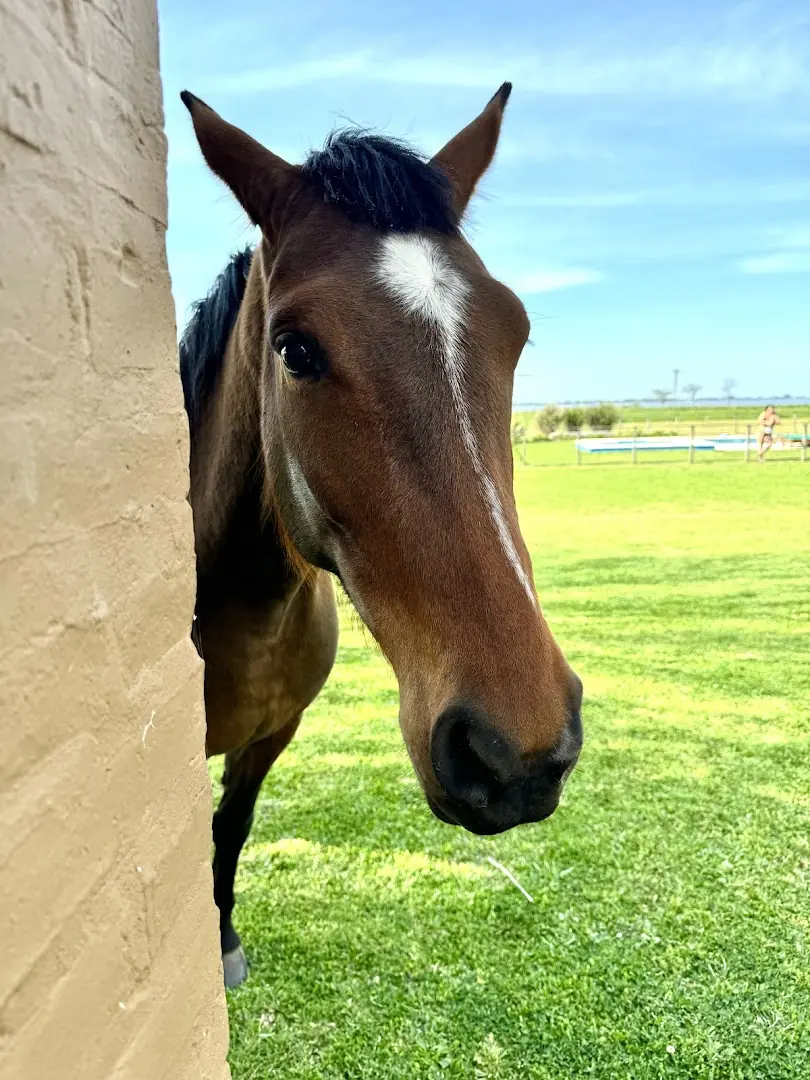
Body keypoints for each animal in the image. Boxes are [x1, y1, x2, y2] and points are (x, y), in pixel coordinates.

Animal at [179, 83, 584, 988]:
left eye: (517, 331)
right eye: (294, 348)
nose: (515, 753)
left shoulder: (273, 738)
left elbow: (231, 829)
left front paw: (218, 936)